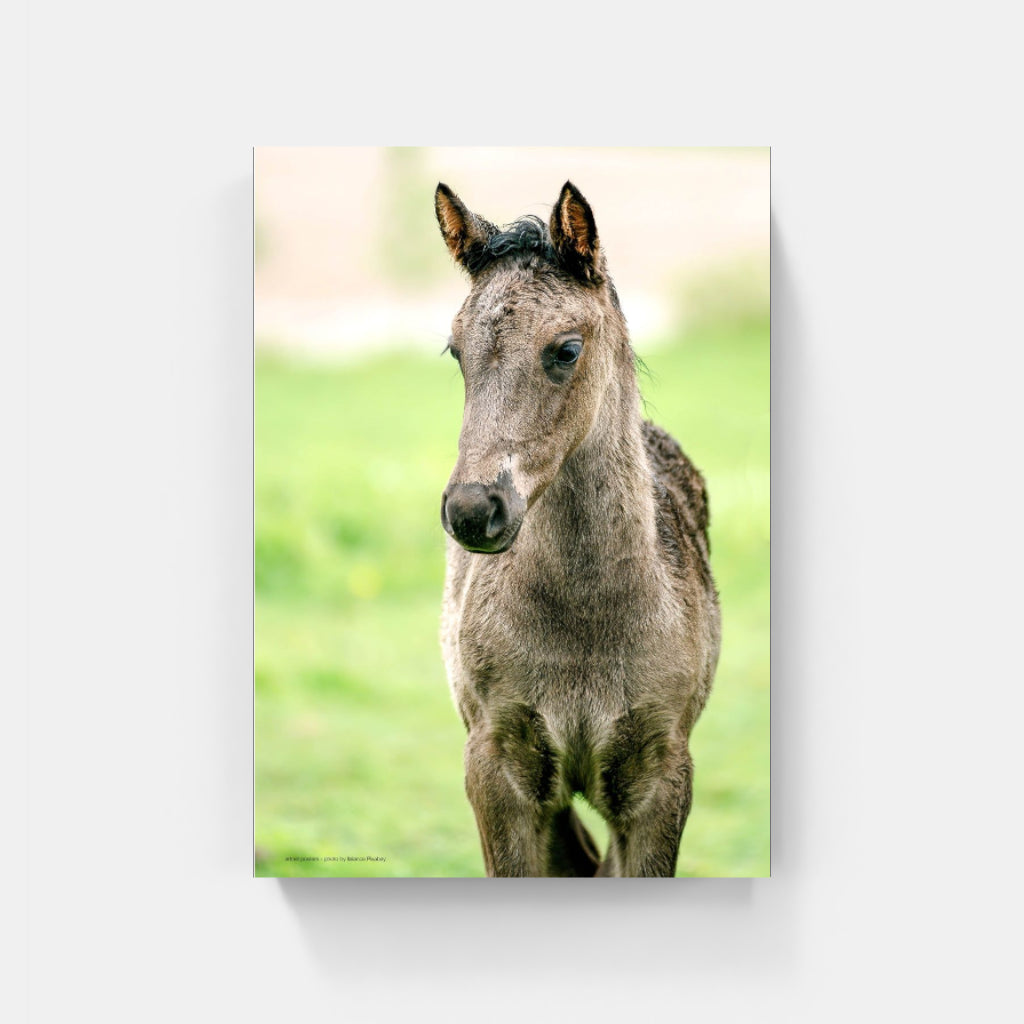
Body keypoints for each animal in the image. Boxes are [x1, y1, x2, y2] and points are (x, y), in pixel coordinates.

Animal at [435, 181, 721, 877]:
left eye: (566, 349)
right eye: (457, 350)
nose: (474, 510)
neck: (586, 623)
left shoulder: (661, 778)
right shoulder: (497, 769)